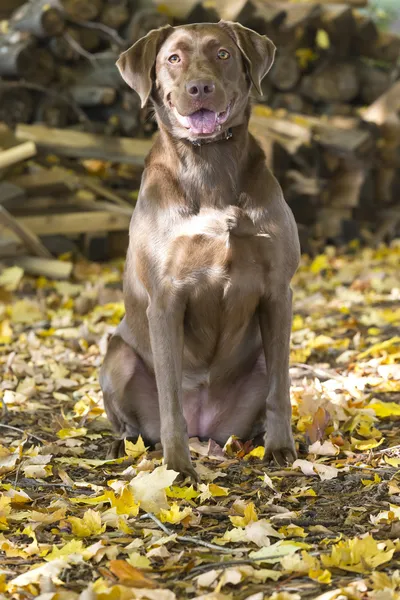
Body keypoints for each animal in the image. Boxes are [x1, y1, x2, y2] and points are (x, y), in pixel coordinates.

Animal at [100, 21, 300, 478]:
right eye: (173, 58)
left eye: (222, 53)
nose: (200, 87)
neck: (210, 166)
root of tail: (206, 429)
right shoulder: (166, 299)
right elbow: (170, 400)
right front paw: (177, 468)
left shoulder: (278, 291)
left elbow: (280, 388)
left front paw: (281, 448)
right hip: (117, 356)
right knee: (134, 420)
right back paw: (126, 445)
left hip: (258, 358)